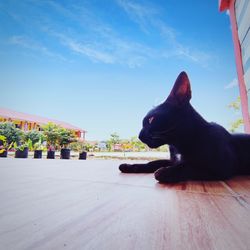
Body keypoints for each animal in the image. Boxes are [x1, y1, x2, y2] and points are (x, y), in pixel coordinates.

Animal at [118, 71, 250, 183]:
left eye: (151, 120)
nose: (139, 136)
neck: (177, 143)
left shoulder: (222, 167)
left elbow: (190, 167)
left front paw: (165, 172)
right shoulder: (173, 160)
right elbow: (153, 162)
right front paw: (130, 166)